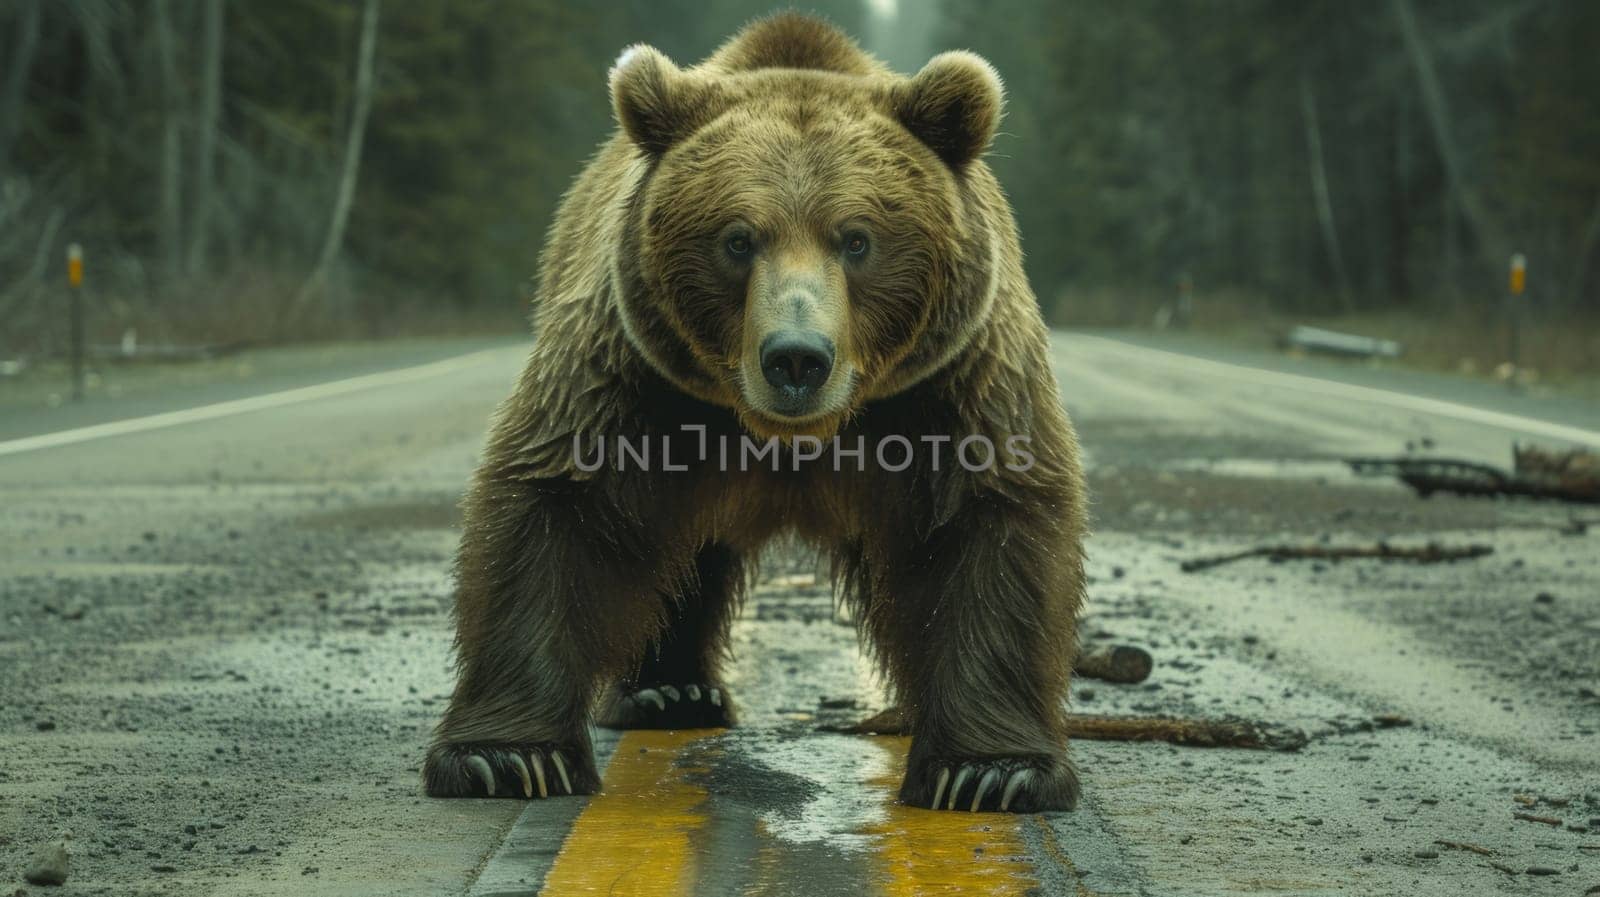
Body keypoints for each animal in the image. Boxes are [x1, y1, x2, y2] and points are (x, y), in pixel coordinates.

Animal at [422, 12, 1088, 812]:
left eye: (856, 238)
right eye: (737, 239)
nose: (796, 358)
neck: (795, 435)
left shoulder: (950, 385)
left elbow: (989, 517)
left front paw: (992, 770)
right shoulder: (632, 379)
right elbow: (559, 508)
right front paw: (507, 757)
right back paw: (669, 693)